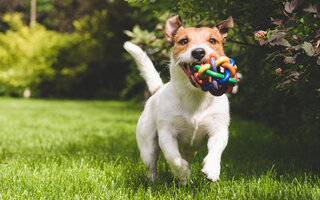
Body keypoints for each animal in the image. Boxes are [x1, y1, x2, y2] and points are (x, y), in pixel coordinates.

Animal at [124, 15, 234, 184]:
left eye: (212, 40)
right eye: (184, 41)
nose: (198, 52)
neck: (195, 96)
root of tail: (158, 89)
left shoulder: (219, 129)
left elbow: (216, 150)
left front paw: (212, 169)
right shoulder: (166, 133)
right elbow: (173, 158)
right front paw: (182, 172)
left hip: (190, 151)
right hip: (147, 146)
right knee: (152, 164)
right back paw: (157, 180)